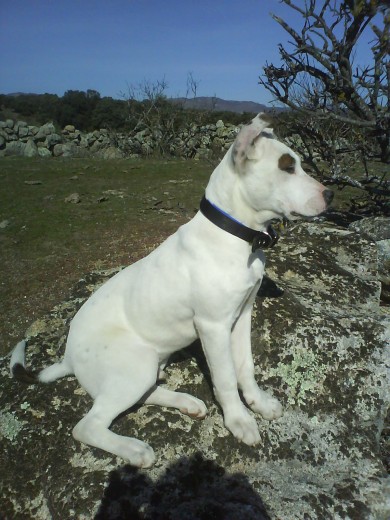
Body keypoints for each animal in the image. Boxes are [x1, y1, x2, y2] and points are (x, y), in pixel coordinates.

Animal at [9, 114, 332, 468]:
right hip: (135, 364)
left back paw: (186, 403)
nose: (330, 195)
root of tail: (67, 358)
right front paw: (239, 421)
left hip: (149, 365)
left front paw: (258, 403)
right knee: (88, 426)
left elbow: (245, 367)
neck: (234, 235)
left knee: (144, 394)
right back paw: (135, 449)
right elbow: (225, 378)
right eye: (287, 167)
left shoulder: (242, 315)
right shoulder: (213, 327)